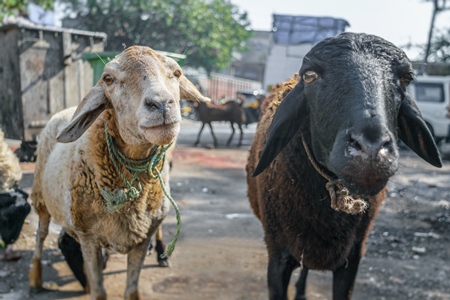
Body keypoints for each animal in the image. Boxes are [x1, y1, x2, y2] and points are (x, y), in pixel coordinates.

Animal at [28, 45, 211, 300]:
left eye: (176, 73)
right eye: (108, 79)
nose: (162, 104)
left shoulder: (141, 238)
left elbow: (131, 290)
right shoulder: (89, 238)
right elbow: (99, 292)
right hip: (40, 198)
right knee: (40, 235)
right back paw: (35, 279)